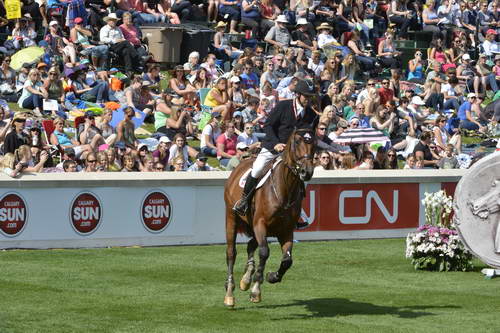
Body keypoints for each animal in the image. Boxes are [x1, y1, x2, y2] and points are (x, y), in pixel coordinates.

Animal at [224, 127, 314, 306]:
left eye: (313, 142)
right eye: (297, 141)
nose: (306, 172)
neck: (284, 188)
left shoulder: (286, 231)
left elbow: (287, 260)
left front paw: (271, 277)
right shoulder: (260, 224)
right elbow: (264, 252)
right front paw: (256, 289)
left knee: (251, 246)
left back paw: (246, 279)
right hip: (232, 218)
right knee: (231, 253)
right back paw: (230, 293)